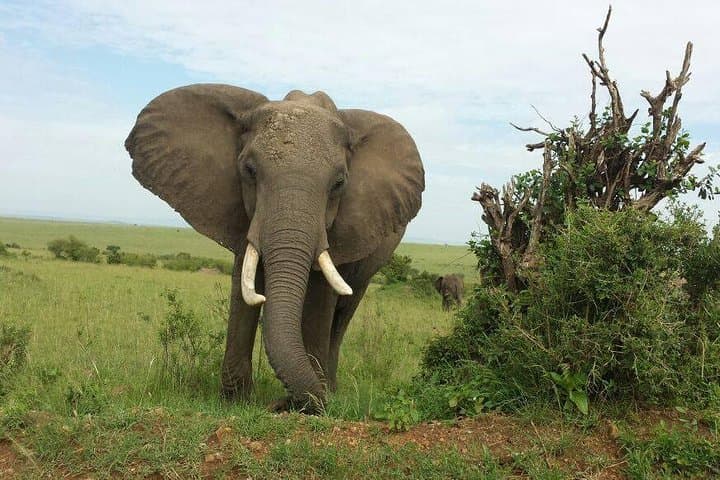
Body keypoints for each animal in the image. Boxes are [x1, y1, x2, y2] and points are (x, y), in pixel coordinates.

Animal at [125, 84, 424, 412]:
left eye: (339, 183)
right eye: (249, 170)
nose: (281, 404)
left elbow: (321, 297)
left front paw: (314, 402)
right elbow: (244, 285)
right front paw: (236, 401)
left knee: (344, 311)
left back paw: (331, 386)